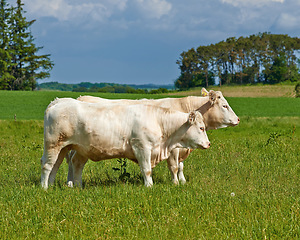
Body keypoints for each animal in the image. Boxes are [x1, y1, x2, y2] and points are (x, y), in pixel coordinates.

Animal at [41, 97, 210, 189]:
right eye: (201, 128)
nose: (208, 144)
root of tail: (58, 102)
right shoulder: (142, 147)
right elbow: (147, 170)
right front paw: (149, 186)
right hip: (53, 144)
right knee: (47, 165)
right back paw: (44, 188)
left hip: (69, 148)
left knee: (62, 165)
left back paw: (64, 186)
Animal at [66, 88, 239, 186]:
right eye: (225, 106)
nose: (237, 119)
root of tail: (81, 97)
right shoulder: (173, 148)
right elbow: (174, 166)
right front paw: (176, 183)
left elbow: (181, 166)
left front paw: (182, 181)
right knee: (72, 162)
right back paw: (70, 183)